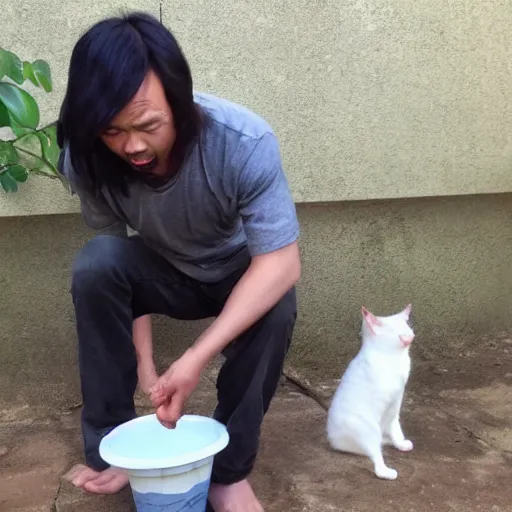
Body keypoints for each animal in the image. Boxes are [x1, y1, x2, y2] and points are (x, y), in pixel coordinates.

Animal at [328, 304, 416, 480]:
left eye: (407, 327)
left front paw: (400, 442)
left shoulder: (395, 405)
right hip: (368, 429)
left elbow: (395, 427)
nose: (410, 336)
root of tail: (335, 441)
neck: (395, 358)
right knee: (376, 456)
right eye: (398, 332)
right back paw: (386, 471)